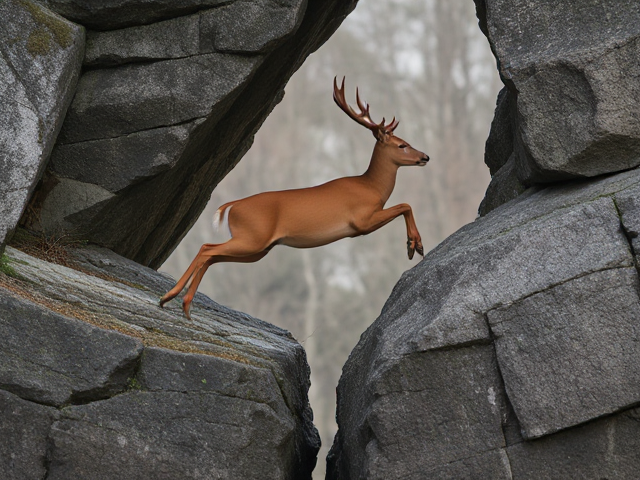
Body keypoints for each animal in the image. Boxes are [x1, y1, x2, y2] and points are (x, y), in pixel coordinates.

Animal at [160, 77, 430, 319]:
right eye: (402, 144)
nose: (425, 156)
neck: (371, 187)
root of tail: (232, 206)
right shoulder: (361, 221)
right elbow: (405, 204)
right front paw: (415, 246)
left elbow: (405, 205)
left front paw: (413, 246)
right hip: (252, 238)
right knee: (207, 248)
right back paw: (168, 297)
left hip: (258, 248)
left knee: (212, 255)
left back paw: (184, 306)